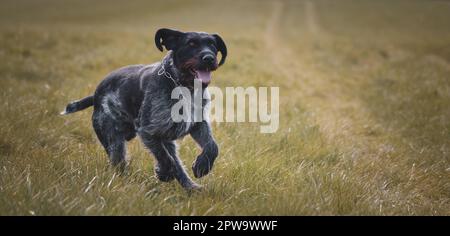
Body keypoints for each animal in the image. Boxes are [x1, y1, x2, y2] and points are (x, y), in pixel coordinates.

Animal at [61, 28, 227, 190]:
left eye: (212, 45)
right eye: (191, 44)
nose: (209, 58)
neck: (184, 87)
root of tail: (95, 95)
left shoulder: (197, 124)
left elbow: (212, 147)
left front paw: (202, 166)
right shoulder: (148, 132)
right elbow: (166, 159)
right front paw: (164, 173)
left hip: (165, 141)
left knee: (177, 163)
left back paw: (191, 187)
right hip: (114, 141)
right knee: (120, 164)